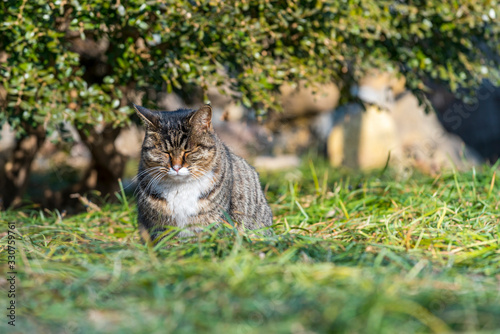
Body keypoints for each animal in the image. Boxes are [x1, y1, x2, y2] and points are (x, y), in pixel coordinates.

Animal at [133, 103, 274, 239]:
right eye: (164, 152)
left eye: (188, 151)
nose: (176, 167)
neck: (180, 188)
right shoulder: (157, 226)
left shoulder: (212, 222)